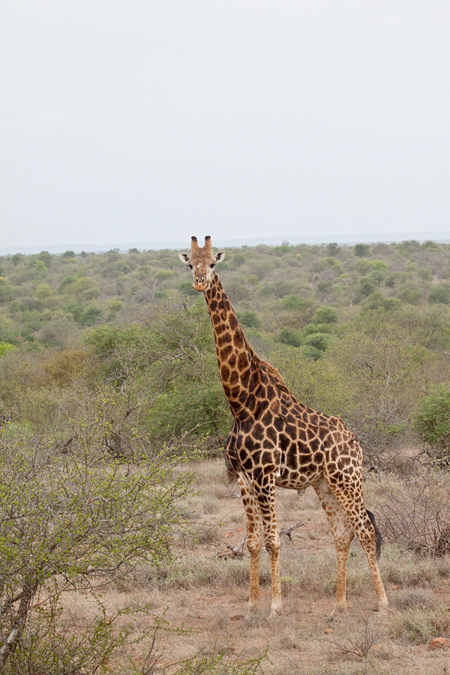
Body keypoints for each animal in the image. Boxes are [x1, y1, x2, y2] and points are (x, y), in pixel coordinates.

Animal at [178, 236, 388, 616]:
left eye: (213, 263)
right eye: (190, 264)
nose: (199, 281)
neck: (242, 403)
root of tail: (355, 441)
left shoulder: (265, 476)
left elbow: (274, 541)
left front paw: (275, 606)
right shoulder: (244, 478)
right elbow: (252, 542)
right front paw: (251, 606)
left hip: (348, 478)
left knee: (365, 529)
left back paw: (382, 603)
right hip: (324, 483)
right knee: (342, 533)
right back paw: (339, 606)